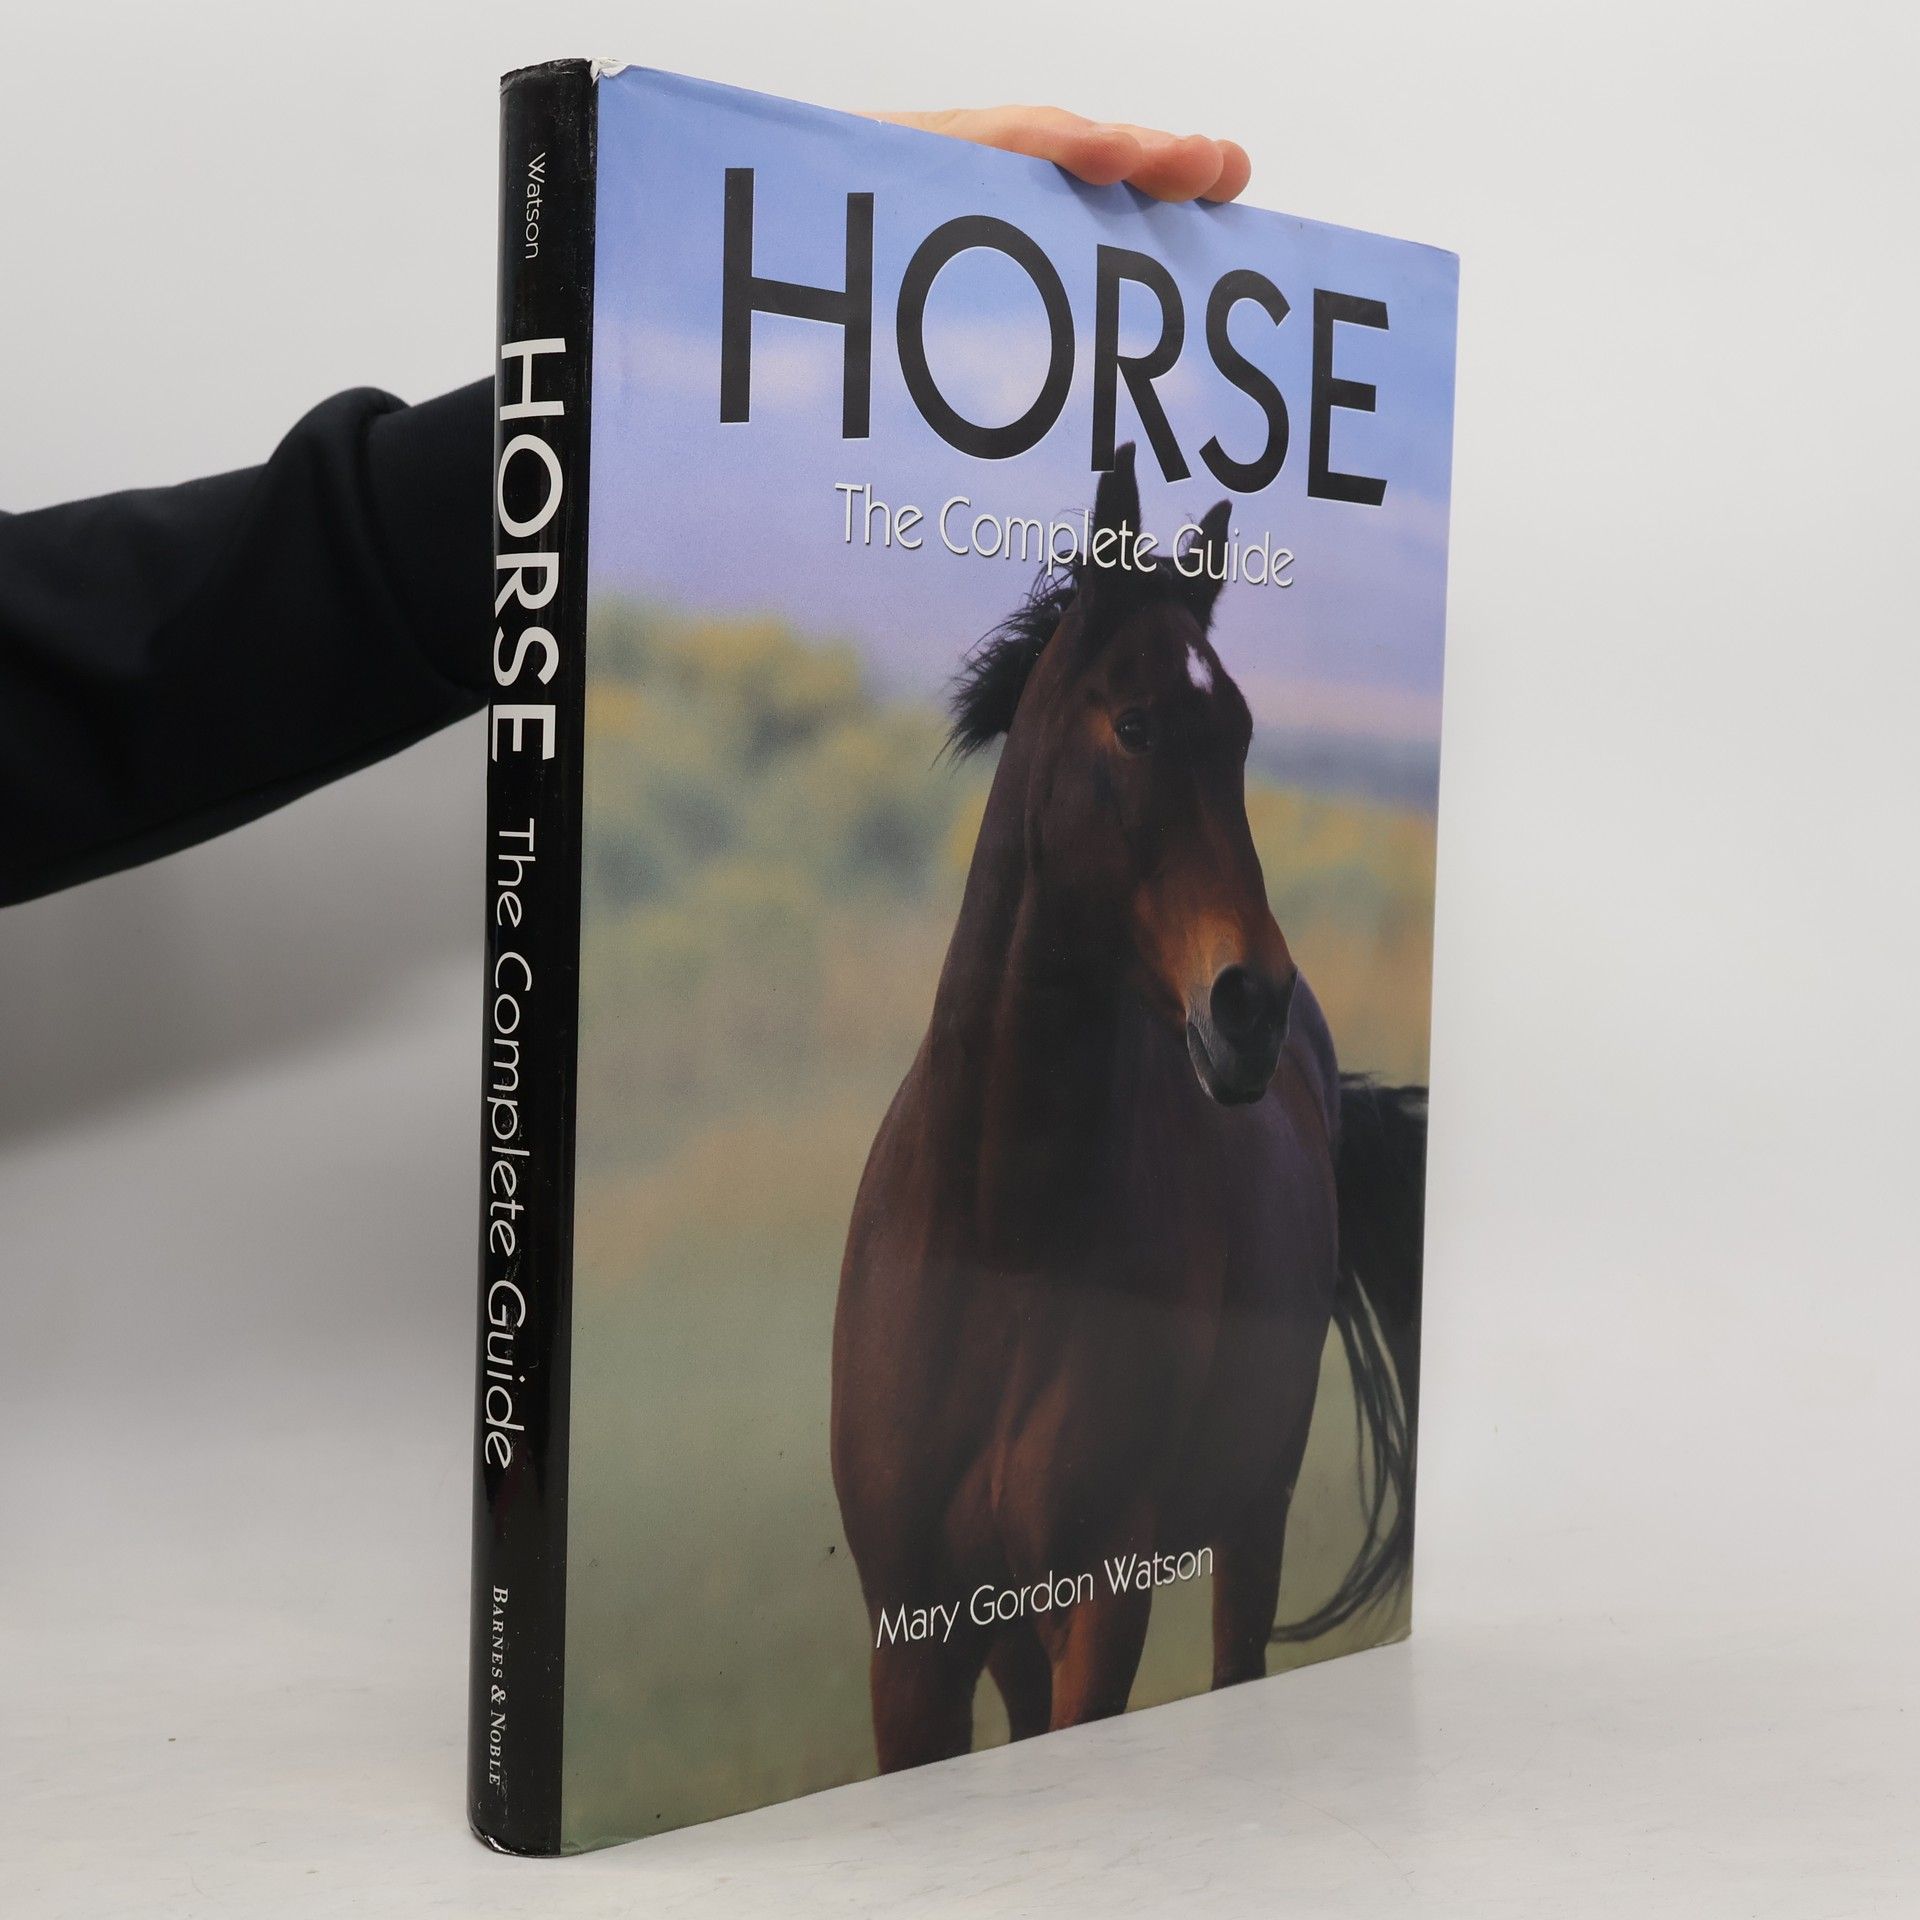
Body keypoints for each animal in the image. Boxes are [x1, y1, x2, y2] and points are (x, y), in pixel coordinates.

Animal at [829, 445, 1424, 1772]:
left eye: (1244, 734)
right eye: (1136, 723)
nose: (1251, 1002)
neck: (995, 1236)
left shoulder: (1099, 1605)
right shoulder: (914, 1642)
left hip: (1248, 1521)